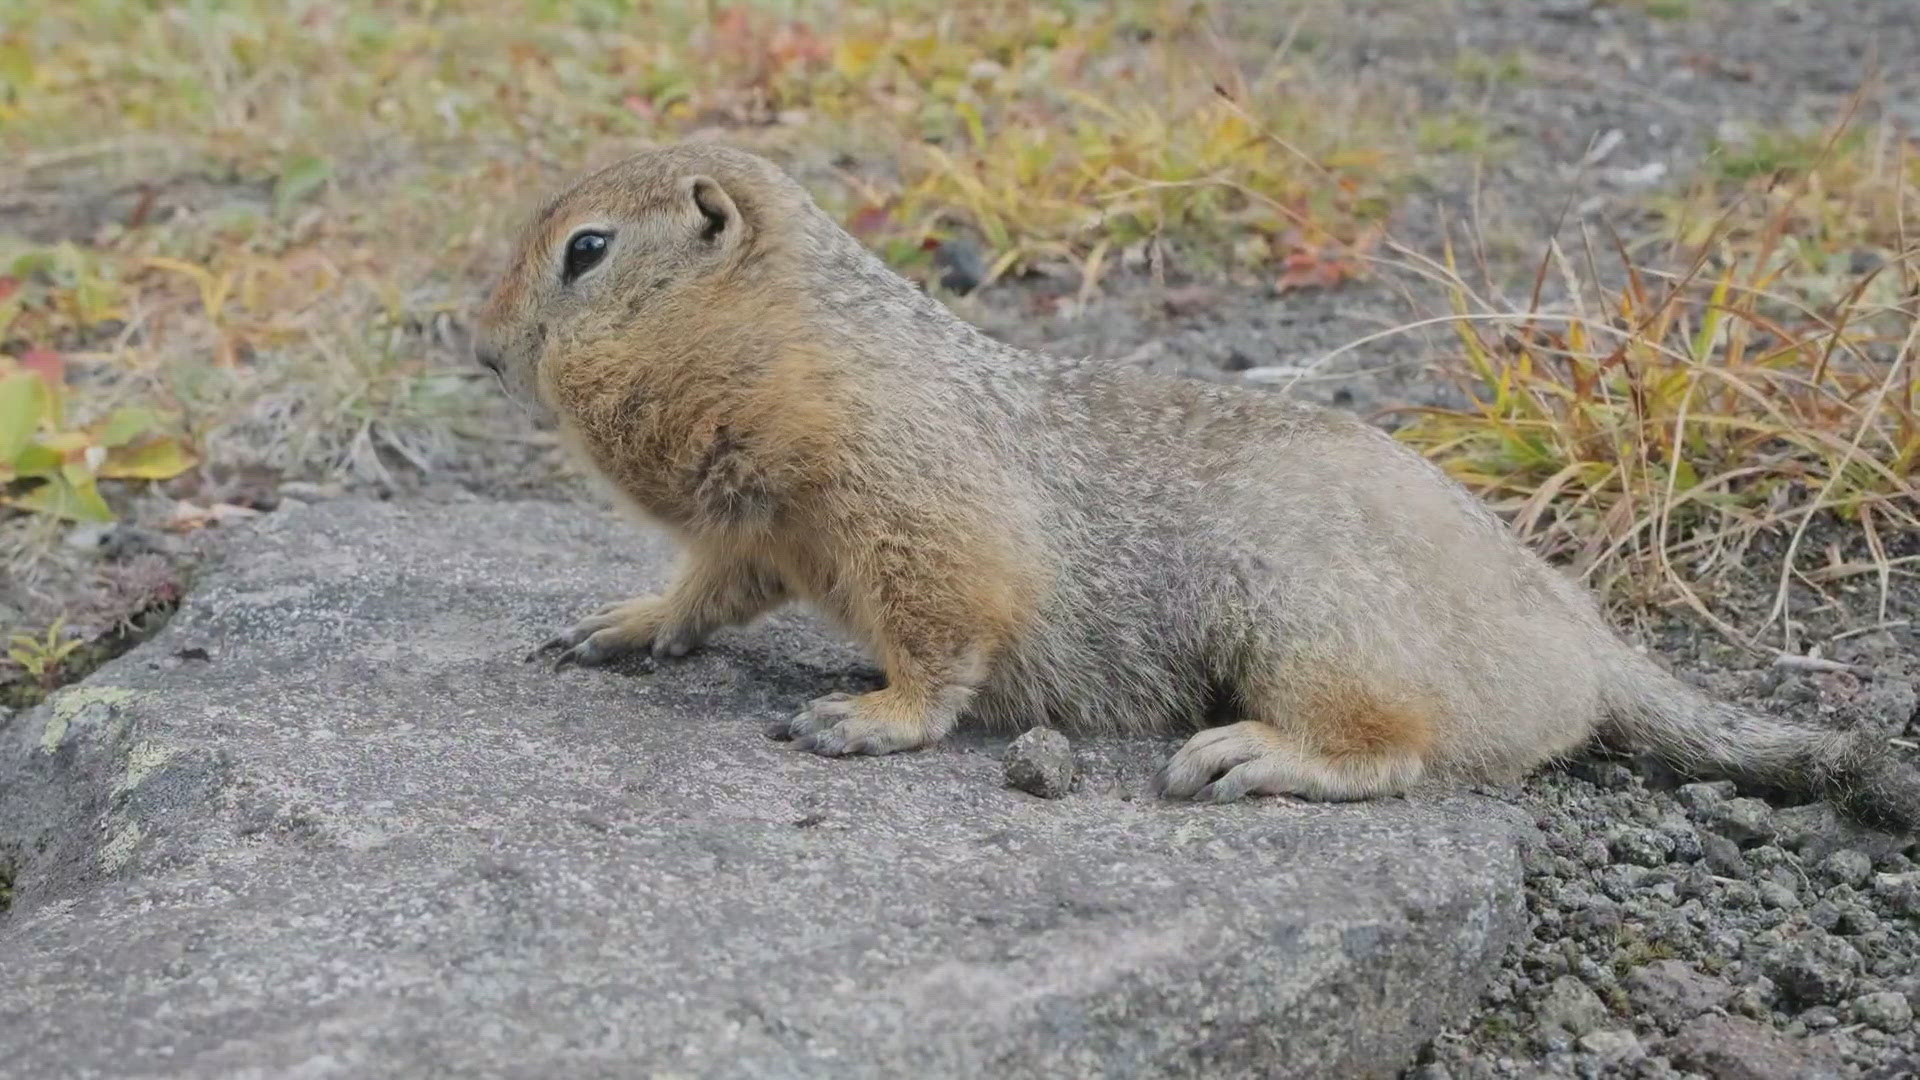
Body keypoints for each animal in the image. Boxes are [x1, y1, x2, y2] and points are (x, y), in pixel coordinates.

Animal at [476, 136, 1920, 822]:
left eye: (587, 250)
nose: (479, 347)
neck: (787, 343)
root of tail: (1593, 643)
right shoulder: (771, 518)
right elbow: (719, 580)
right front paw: (621, 624)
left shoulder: (897, 469)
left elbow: (948, 606)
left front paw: (867, 716)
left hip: (1321, 623)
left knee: (1404, 748)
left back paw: (1252, 755)